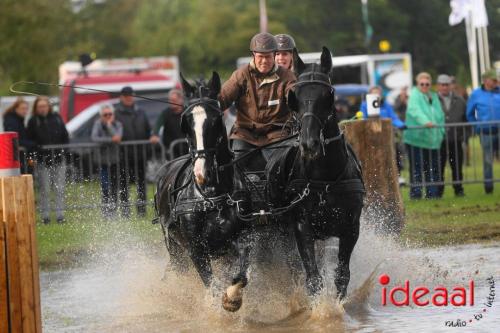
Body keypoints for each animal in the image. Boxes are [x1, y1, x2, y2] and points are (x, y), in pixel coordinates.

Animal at [152, 71, 252, 310]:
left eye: (216, 120)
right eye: (185, 124)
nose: (200, 172)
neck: (212, 195)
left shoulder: (240, 238)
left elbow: (241, 274)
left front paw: (232, 299)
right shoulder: (196, 250)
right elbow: (212, 286)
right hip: (176, 250)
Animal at [268, 46, 366, 298]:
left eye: (327, 95)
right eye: (295, 97)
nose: (309, 143)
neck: (325, 177)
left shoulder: (351, 228)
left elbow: (342, 275)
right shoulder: (302, 227)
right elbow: (312, 278)